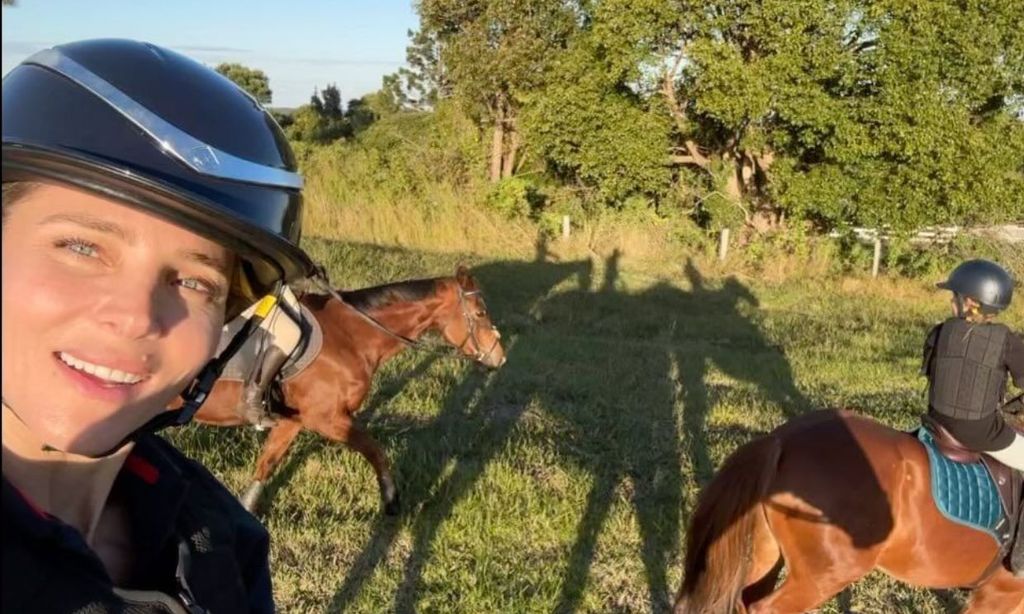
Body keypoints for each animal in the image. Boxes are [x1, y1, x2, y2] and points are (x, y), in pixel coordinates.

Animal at [190, 268, 505, 513]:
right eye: (480, 313)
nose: (499, 357)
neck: (350, 336)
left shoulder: (293, 421)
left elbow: (267, 464)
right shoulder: (327, 419)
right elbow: (375, 450)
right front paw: (392, 501)